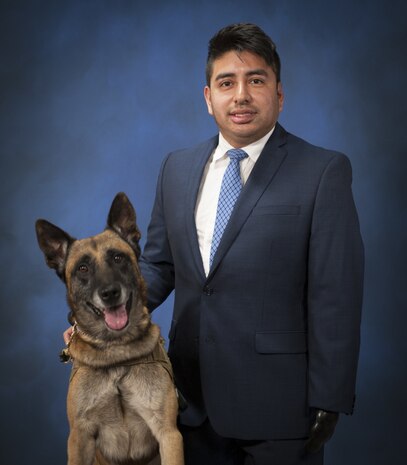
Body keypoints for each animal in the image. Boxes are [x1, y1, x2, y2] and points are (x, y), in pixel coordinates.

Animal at [35, 191, 184, 464]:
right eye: (82, 268)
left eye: (118, 258)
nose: (110, 294)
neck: (116, 354)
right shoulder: (79, 437)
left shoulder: (169, 434)